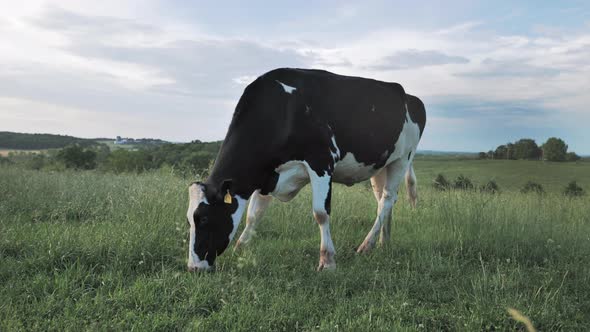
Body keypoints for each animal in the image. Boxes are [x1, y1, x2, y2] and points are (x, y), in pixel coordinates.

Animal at [187, 68, 428, 272]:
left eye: (204, 218)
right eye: (189, 219)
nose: (194, 268)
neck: (283, 110)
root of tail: (409, 96)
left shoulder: (321, 162)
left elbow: (321, 213)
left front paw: (327, 261)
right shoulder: (267, 176)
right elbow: (254, 215)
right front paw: (241, 247)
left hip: (402, 159)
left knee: (387, 199)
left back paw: (366, 245)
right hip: (380, 165)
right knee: (382, 201)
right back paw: (383, 242)